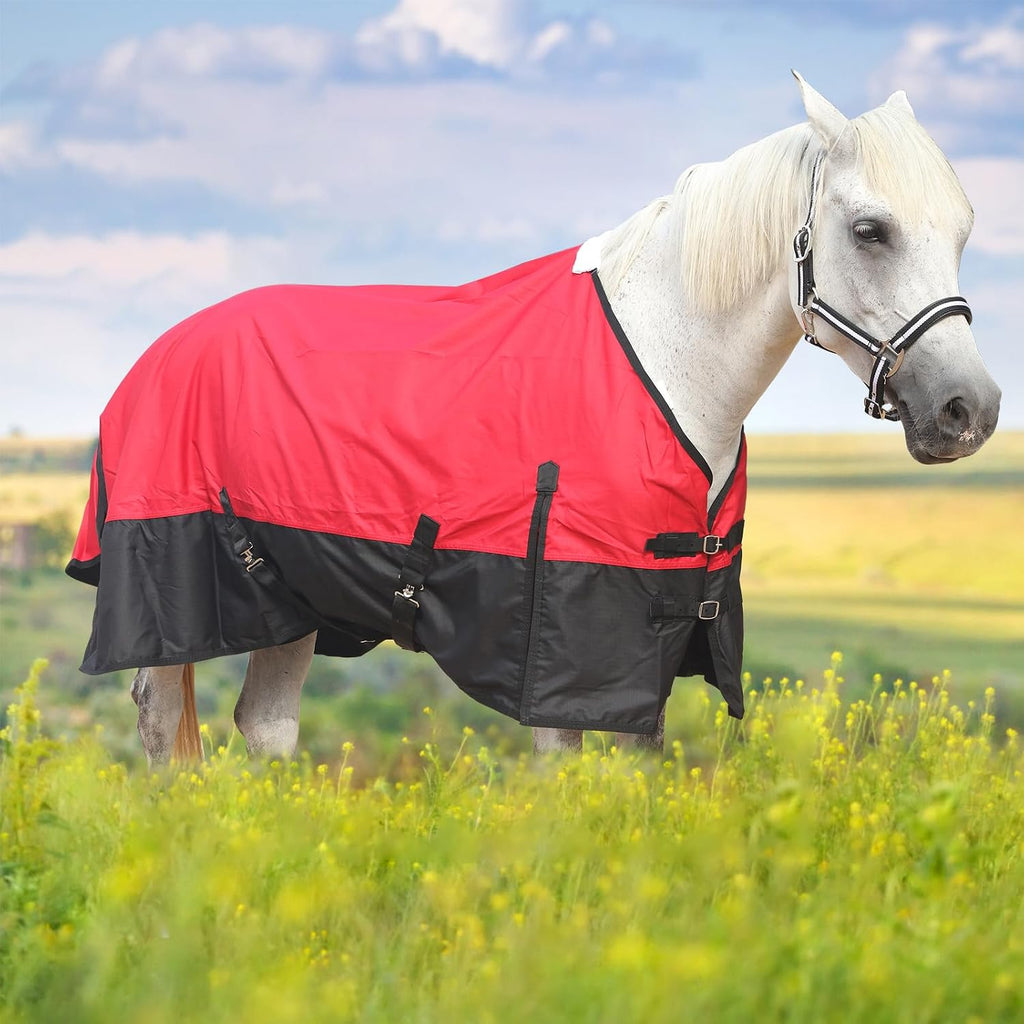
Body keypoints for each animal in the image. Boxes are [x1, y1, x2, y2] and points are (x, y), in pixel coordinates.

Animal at [67, 73, 1000, 767]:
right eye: (871, 231)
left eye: (963, 230)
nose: (970, 410)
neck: (664, 359)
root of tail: (159, 353)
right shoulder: (567, 643)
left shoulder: (657, 635)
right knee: (161, 721)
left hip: (294, 598)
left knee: (265, 729)